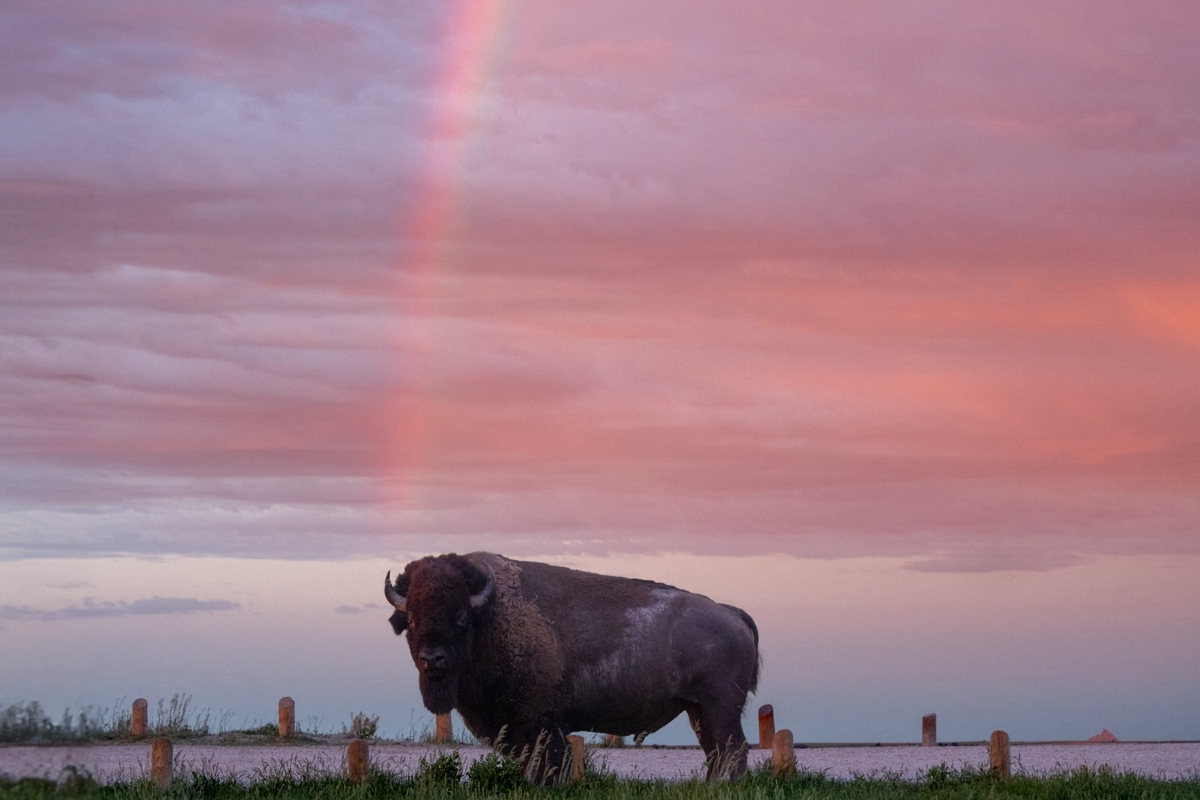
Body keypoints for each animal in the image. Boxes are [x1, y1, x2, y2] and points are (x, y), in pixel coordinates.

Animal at [384, 551, 758, 782]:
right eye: (412, 619)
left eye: (460, 619)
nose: (432, 658)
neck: (490, 617)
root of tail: (731, 613)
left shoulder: (538, 723)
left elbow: (549, 761)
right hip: (699, 711)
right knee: (717, 752)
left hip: (720, 707)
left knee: (732, 750)